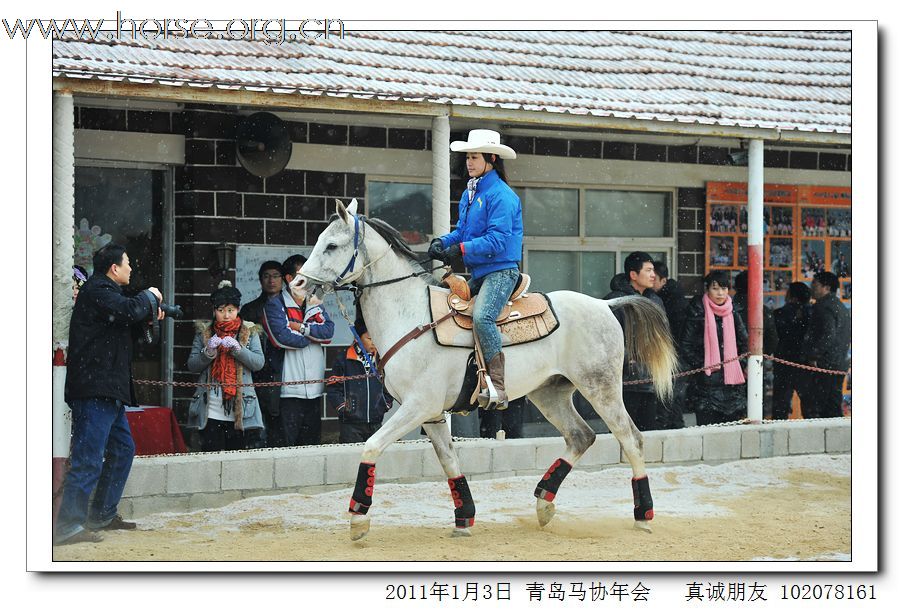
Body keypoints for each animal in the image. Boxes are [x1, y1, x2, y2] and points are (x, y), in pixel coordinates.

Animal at [298, 201, 680, 540]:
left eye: (332, 245)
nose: (299, 286)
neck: (410, 314)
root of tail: (605, 304)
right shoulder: (431, 415)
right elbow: (449, 462)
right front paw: (464, 518)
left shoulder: (418, 406)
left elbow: (371, 446)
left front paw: (358, 518)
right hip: (550, 392)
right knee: (580, 436)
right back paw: (544, 503)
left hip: (600, 387)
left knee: (631, 439)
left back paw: (643, 516)